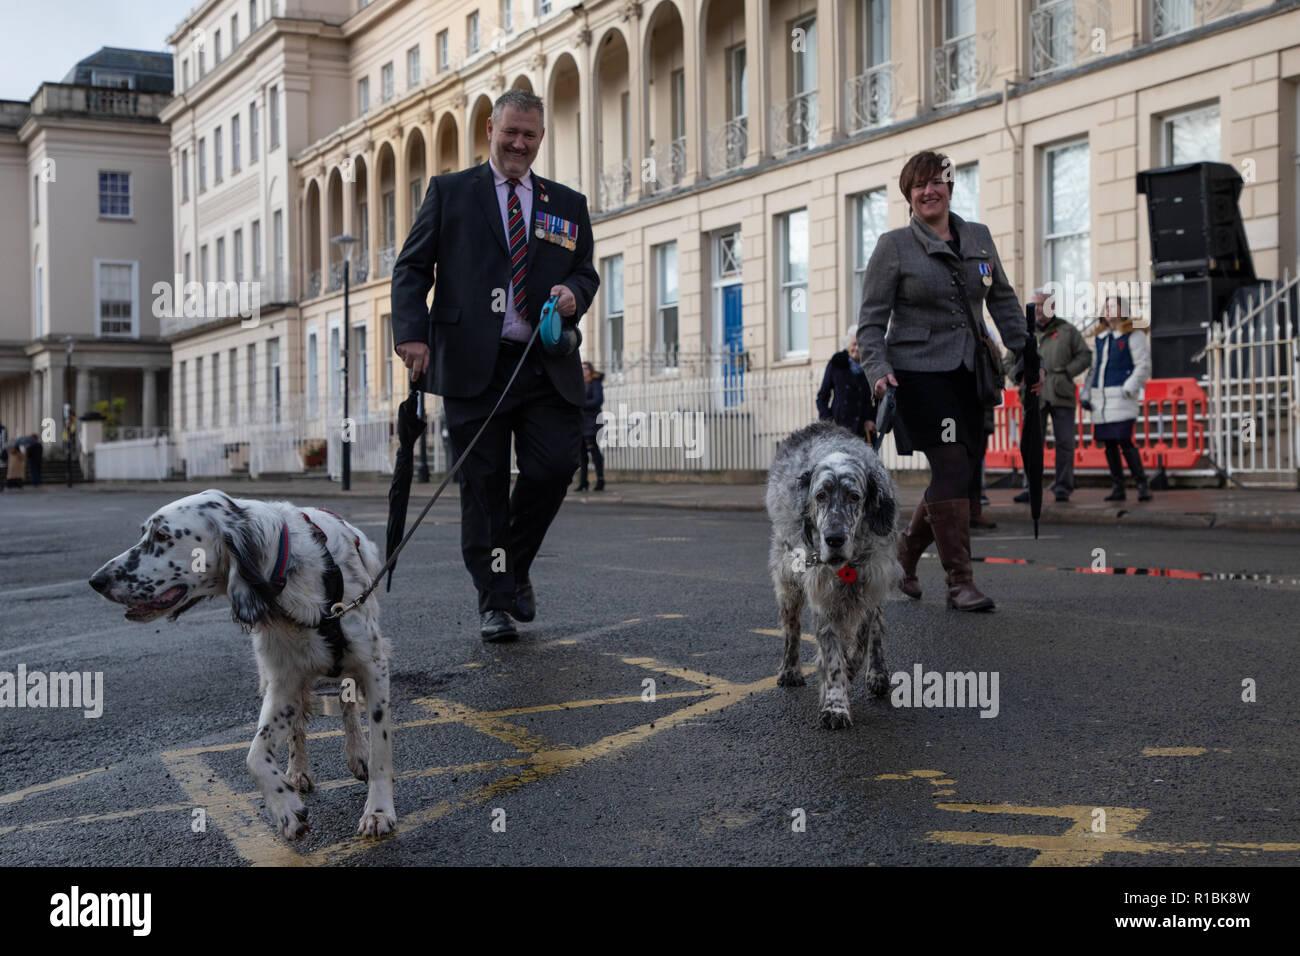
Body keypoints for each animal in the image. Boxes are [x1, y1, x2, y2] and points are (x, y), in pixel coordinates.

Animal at [88, 489, 392, 842]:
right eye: (144, 534)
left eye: (163, 536)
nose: (96, 580)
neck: (286, 576)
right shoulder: (283, 680)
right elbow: (255, 755)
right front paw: (286, 808)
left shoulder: (374, 666)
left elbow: (380, 748)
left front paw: (378, 812)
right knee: (298, 729)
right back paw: (297, 771)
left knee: (347, 704)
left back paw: (357, 753)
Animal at [764, 421, 899, 728]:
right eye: (820, 496)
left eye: (855, 497)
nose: (834, 539)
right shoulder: (821, 595)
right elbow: (832, 656)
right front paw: (835, 704)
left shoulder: (872, 580)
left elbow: (861, 640)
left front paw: (852, 674)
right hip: (787, 581)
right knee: (792, 629)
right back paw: (790, 669)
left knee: (876, 627)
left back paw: (877, 673)